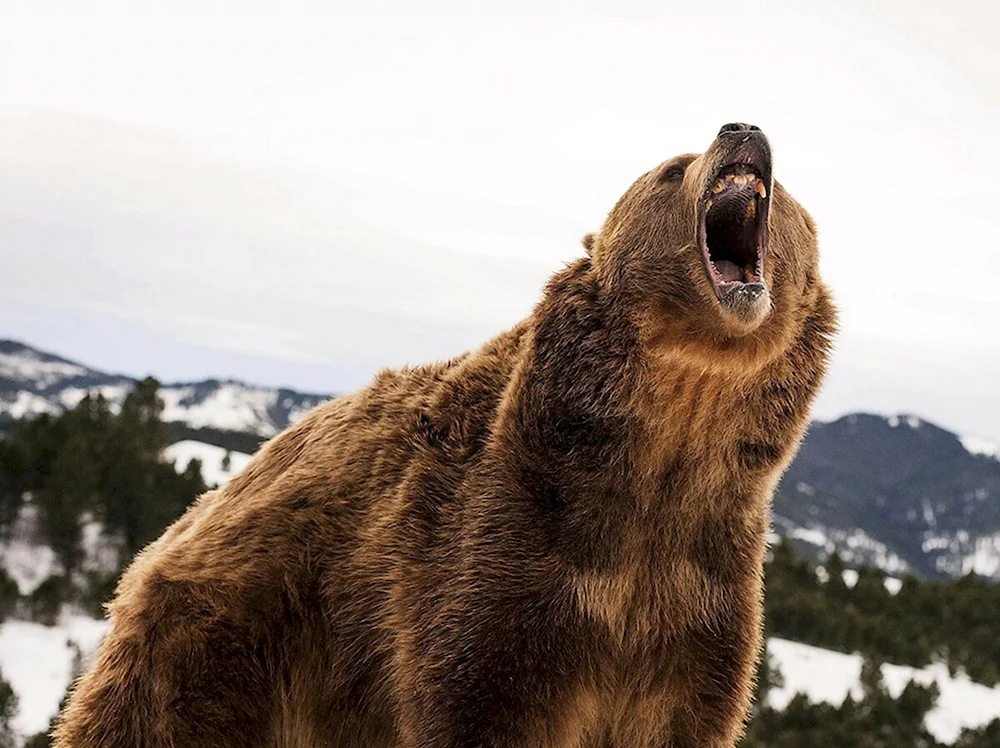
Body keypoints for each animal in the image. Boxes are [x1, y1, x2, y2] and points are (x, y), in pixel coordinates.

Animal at [54, 122, 836, 748]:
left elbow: (684, 711)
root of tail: (181, 527)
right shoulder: (499, 560)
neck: (667, 445)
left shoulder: (696, 597)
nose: (743, 130)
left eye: (790, 194)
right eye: (675, 167)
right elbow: (482, 695)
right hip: (223, 643)